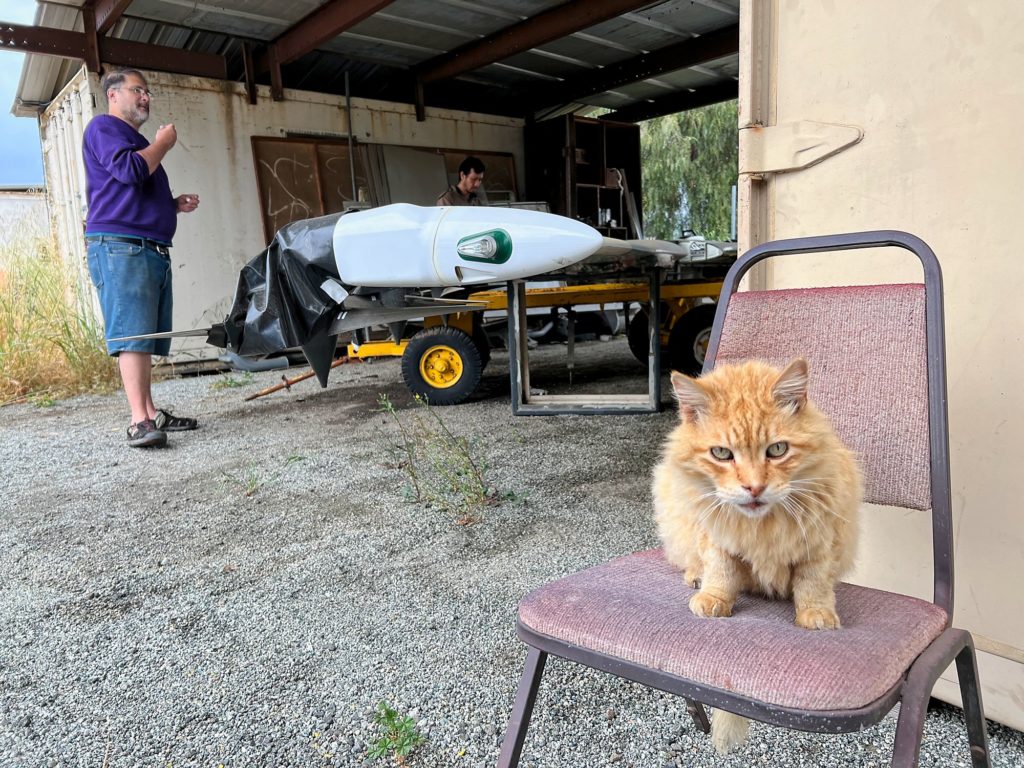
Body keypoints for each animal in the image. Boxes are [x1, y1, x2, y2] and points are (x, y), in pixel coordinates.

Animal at [651, 360, 860, 753]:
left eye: (777, 449)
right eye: (721, 454)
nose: (754, 487)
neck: (762, 522)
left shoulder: (820, 539)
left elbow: (812, 583)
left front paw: (815, 614)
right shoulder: (714, 534)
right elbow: (720, 571)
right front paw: (714, 599)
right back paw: (695, 578)